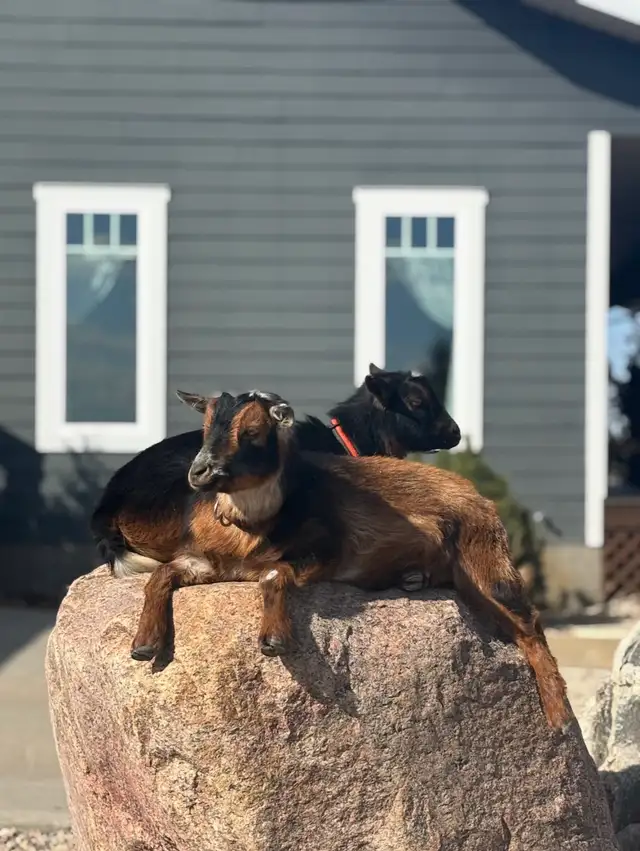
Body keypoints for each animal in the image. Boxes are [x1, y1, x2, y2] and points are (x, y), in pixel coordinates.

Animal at [131, 390, 569, 730]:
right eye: (206, 429)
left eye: (253, 432)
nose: (200, 473)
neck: (249, 526)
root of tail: (480, 497)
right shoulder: (207, 561)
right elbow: (160, 575)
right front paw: (144, 644)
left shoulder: (326, 551)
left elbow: (273, 573)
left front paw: (274, 638)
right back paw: (413, 578)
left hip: (487, 561)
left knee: (529, 624)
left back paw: (559, 715)